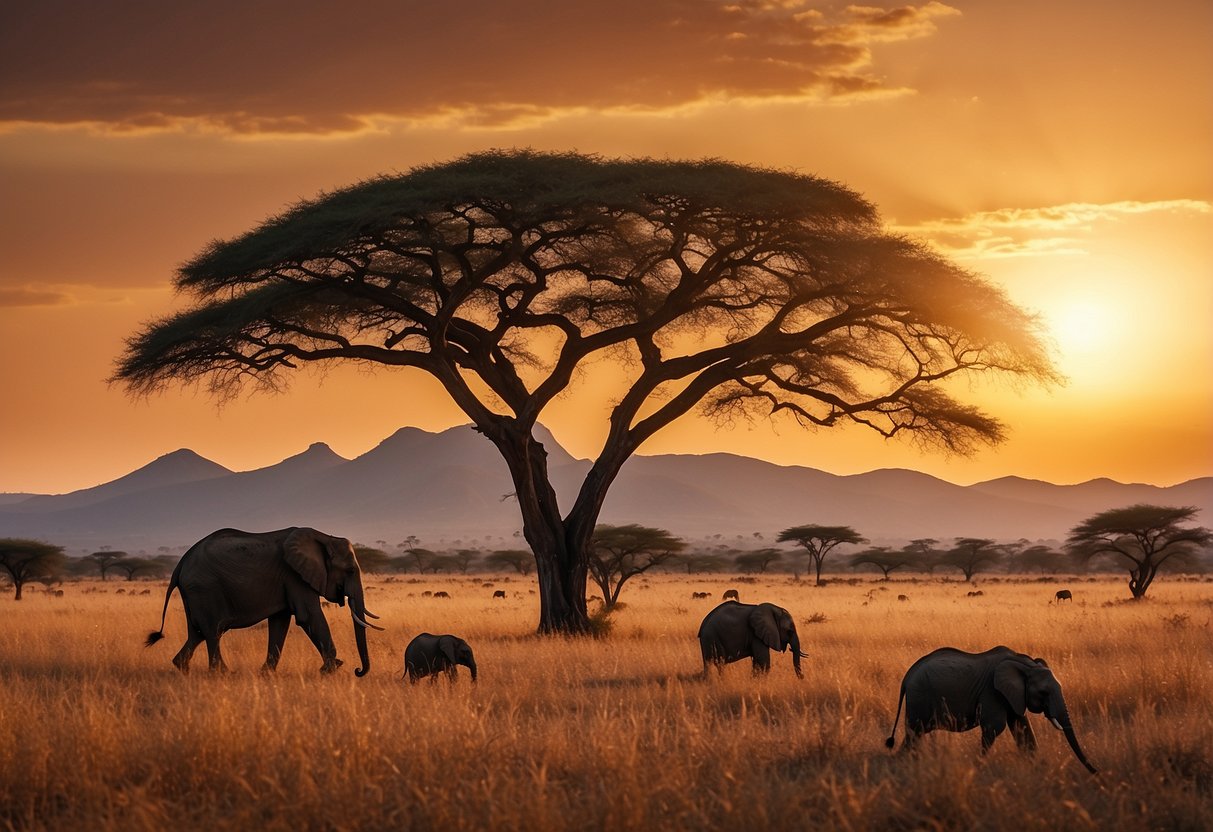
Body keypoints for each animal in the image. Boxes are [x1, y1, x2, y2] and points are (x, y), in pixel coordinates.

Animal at [145, 528, 383, 679]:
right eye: (350, 571)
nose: (357, 671)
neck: (324, 538)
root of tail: (180, 564)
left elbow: (280, 622)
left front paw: (266, 674)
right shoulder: (294, 575)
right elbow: (309, 616)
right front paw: (331, 670)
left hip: (193, 594)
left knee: (197, 634)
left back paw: (183, 669)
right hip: (204, 589)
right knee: (213, 631)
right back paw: (222, 674)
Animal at [887, 650, 1096, 781]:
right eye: (1043, 693)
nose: (1096, 772)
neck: (1025, 665)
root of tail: (907, 676)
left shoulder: (1013, 696)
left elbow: (1023, 729)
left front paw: (1039, 769)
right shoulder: (992, 691)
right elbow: (994, 727)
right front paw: (977, 767)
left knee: (914, 735)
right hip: (919, 696)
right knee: (914, 733)